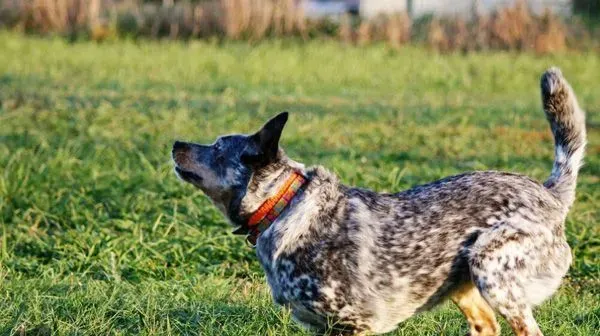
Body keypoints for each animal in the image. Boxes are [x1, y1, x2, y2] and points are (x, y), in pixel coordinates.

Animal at [172, 67, 584, 334]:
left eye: (217, 146)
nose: (175, 143)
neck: (284, 208)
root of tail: (549, 193)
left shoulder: (355, 323)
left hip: (491, 266)